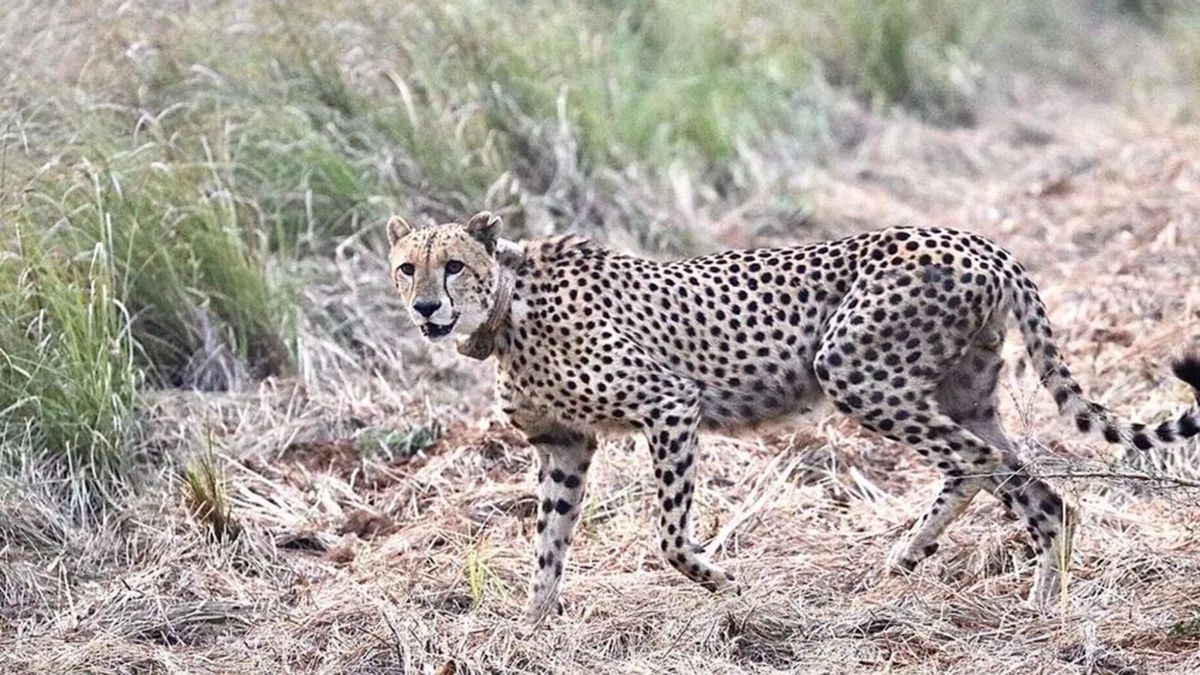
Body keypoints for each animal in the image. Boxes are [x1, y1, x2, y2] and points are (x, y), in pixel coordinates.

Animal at [386, 210, 1200, 626]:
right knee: (1032, 484)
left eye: (453, 265)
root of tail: (977, 240)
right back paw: (1036, 603)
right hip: (964, 393)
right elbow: (548, 546)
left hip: (853, 368)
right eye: (406, 267)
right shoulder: (565, 445)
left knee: (974, 461)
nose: (426, 307)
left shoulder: (670, 405)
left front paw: (724, 585)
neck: (506, 306)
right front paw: (533, 627)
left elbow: (669, 536)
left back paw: (911, 556)